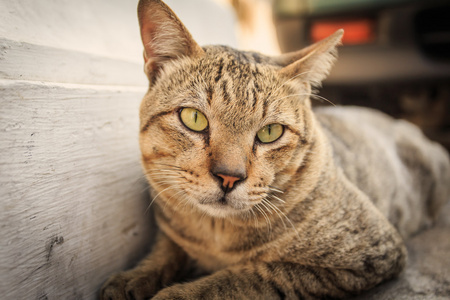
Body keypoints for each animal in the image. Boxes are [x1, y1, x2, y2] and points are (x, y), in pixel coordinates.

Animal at [99, 1, 450, 298]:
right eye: (194, 118)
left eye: (270, 132)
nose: (229, 177)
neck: (216, 235)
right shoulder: (171, 229)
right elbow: (165, 250)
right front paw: (134, 277)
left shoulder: (367, 253)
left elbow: (247, 277)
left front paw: (175, 293)